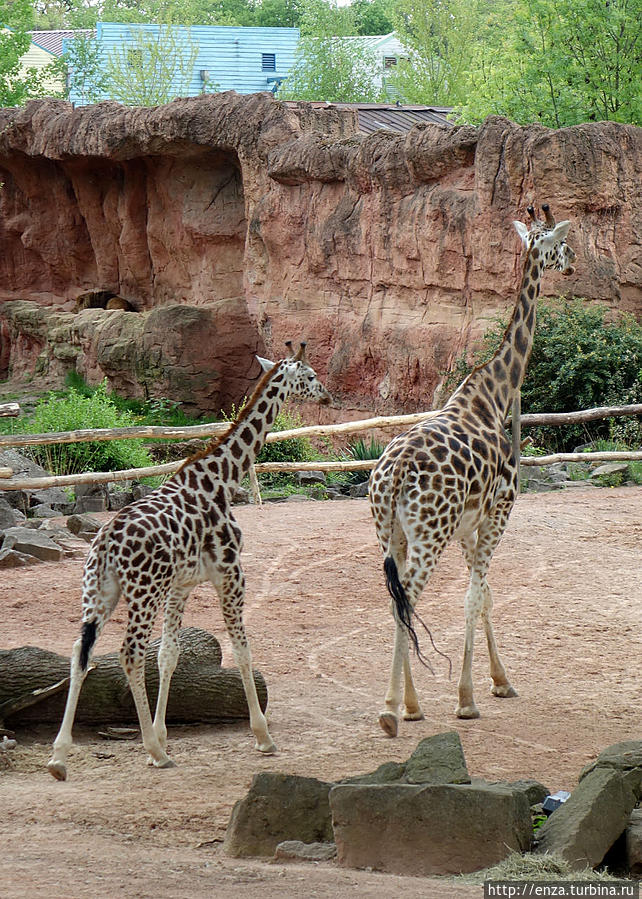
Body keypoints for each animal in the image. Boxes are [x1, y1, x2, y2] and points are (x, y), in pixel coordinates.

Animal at [47, 342, 330, 780]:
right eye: (312, 375)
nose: (327, 397)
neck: (224, 478)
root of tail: (106, 542)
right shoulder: (230, 572)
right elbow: (242, 648)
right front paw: (263, 737)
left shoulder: (181, 584)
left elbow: (169, 655)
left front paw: (163, 736)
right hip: (142, 592)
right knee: (129, 654)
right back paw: (153, 751)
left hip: (99, 592)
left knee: (82, 652)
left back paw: (60, 758)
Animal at [370, 206, 576, 740]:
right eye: (560, 244)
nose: (573, 264)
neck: (495, 395)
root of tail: (393, 474)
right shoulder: (500, 512)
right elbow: (472, 597)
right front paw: (466, 700)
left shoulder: (469, 526)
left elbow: (485, 595)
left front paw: (500, 681)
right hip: (428, 534)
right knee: (410, 598)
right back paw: (390, 710)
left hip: (391, 534)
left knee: (398, 599)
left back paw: (410, 705)